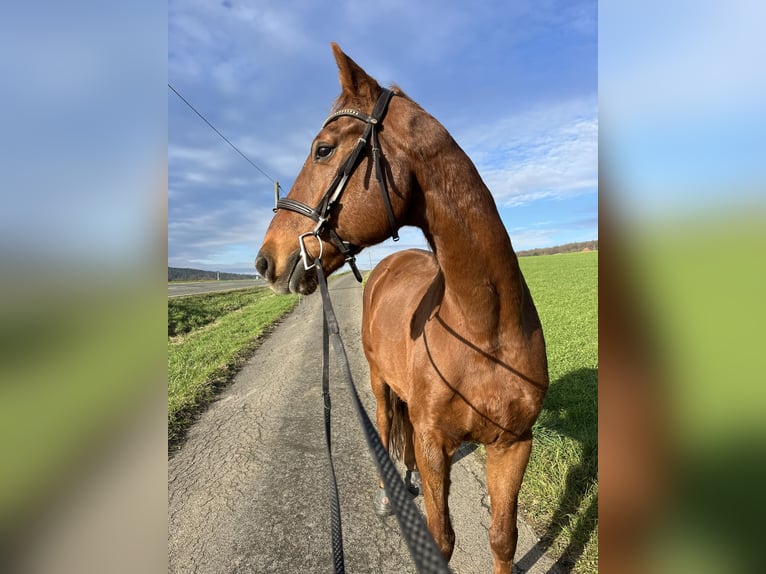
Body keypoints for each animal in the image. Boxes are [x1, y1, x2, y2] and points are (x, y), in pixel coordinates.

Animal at [258, 44, 552, 574]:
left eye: (323, 150)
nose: (266, 260)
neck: (484, 330)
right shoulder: (436, 443)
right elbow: (441, 539)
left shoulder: (513, 445)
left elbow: (502, 538)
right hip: (378, 385)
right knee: (383, 427)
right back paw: (386, 493)